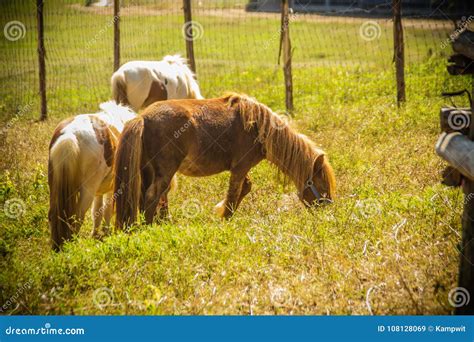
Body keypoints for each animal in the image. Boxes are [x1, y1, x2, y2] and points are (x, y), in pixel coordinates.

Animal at [48, 100, 137, 250]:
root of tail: (70, 134)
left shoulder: (99, 191)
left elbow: (97, 212)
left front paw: (95, 235)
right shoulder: (110, 189)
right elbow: (106, 211)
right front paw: (106, 233)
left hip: (54, 187)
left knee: (55, 214)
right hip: (87, 189)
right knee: (78, 216)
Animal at [115, 93, 336, 230]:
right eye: (322, 184)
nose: (328, 211)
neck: (257, 126)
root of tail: (142, 118)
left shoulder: (241, 169)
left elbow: (244, 188)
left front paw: (221, 213)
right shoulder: (240, 167)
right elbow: (234, 193)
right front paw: (225, 218)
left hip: (149, 171)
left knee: (151, 197)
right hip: (166, 171)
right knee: (153, 196)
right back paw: (151, 228)